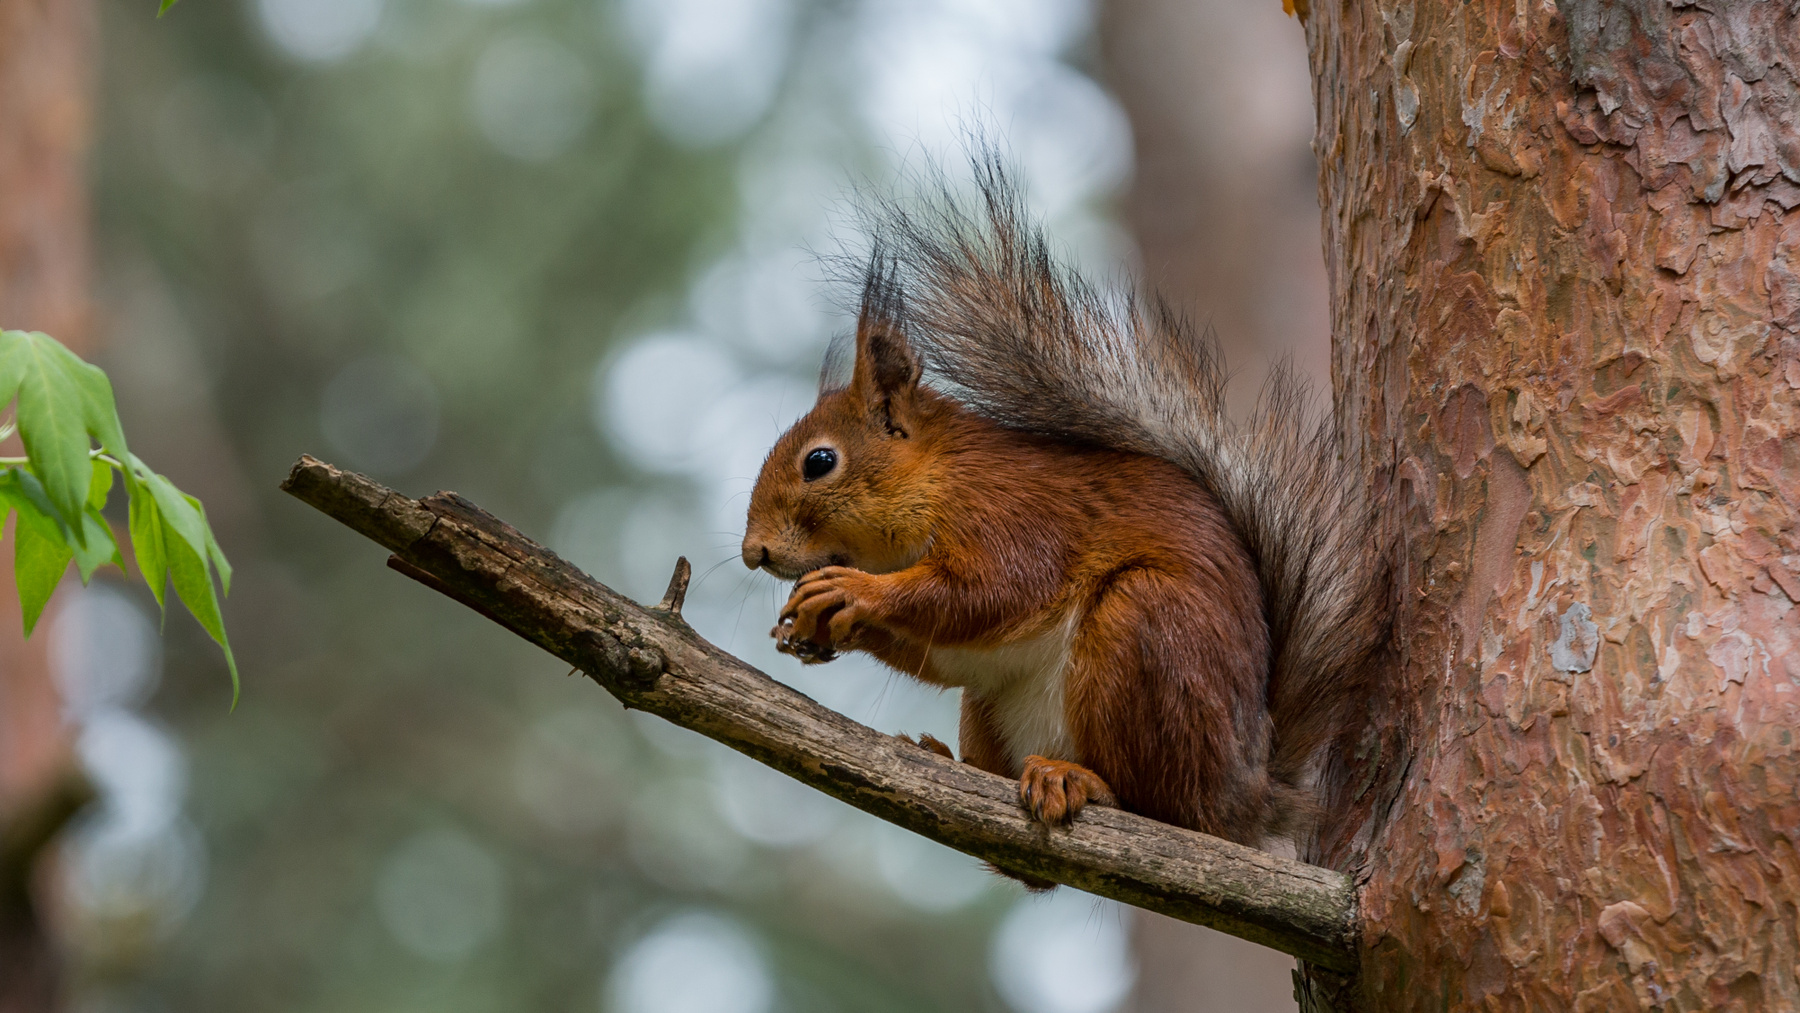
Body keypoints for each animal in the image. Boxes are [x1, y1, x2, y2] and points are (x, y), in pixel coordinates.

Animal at [740, 159, 1391, 853]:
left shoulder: (1016, 513)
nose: (754, 552)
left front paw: (853, 592)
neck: (937, 483)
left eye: (819, 462)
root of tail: (1247, 801)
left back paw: (1081, 780)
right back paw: (951, 760)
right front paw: (816, 628)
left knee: (1164, 809)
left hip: (1146, 630)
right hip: (992, 705)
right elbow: (942, 649)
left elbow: (989, 590)